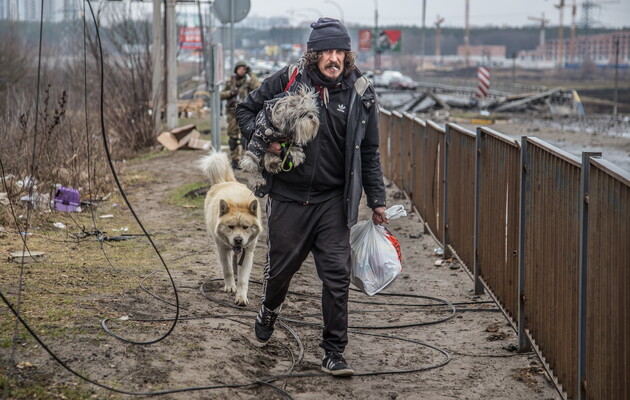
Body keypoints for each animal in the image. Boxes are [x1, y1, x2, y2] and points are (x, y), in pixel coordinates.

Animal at [200, 151, 264, 306]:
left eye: (245, 227)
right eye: (230, 226)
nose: (238, 240)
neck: (237, 203)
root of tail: (225, 181)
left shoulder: (248, 252)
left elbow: (243, 279)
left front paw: (241, 297)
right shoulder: (222, 249)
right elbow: (227, 269)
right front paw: (230, 287)